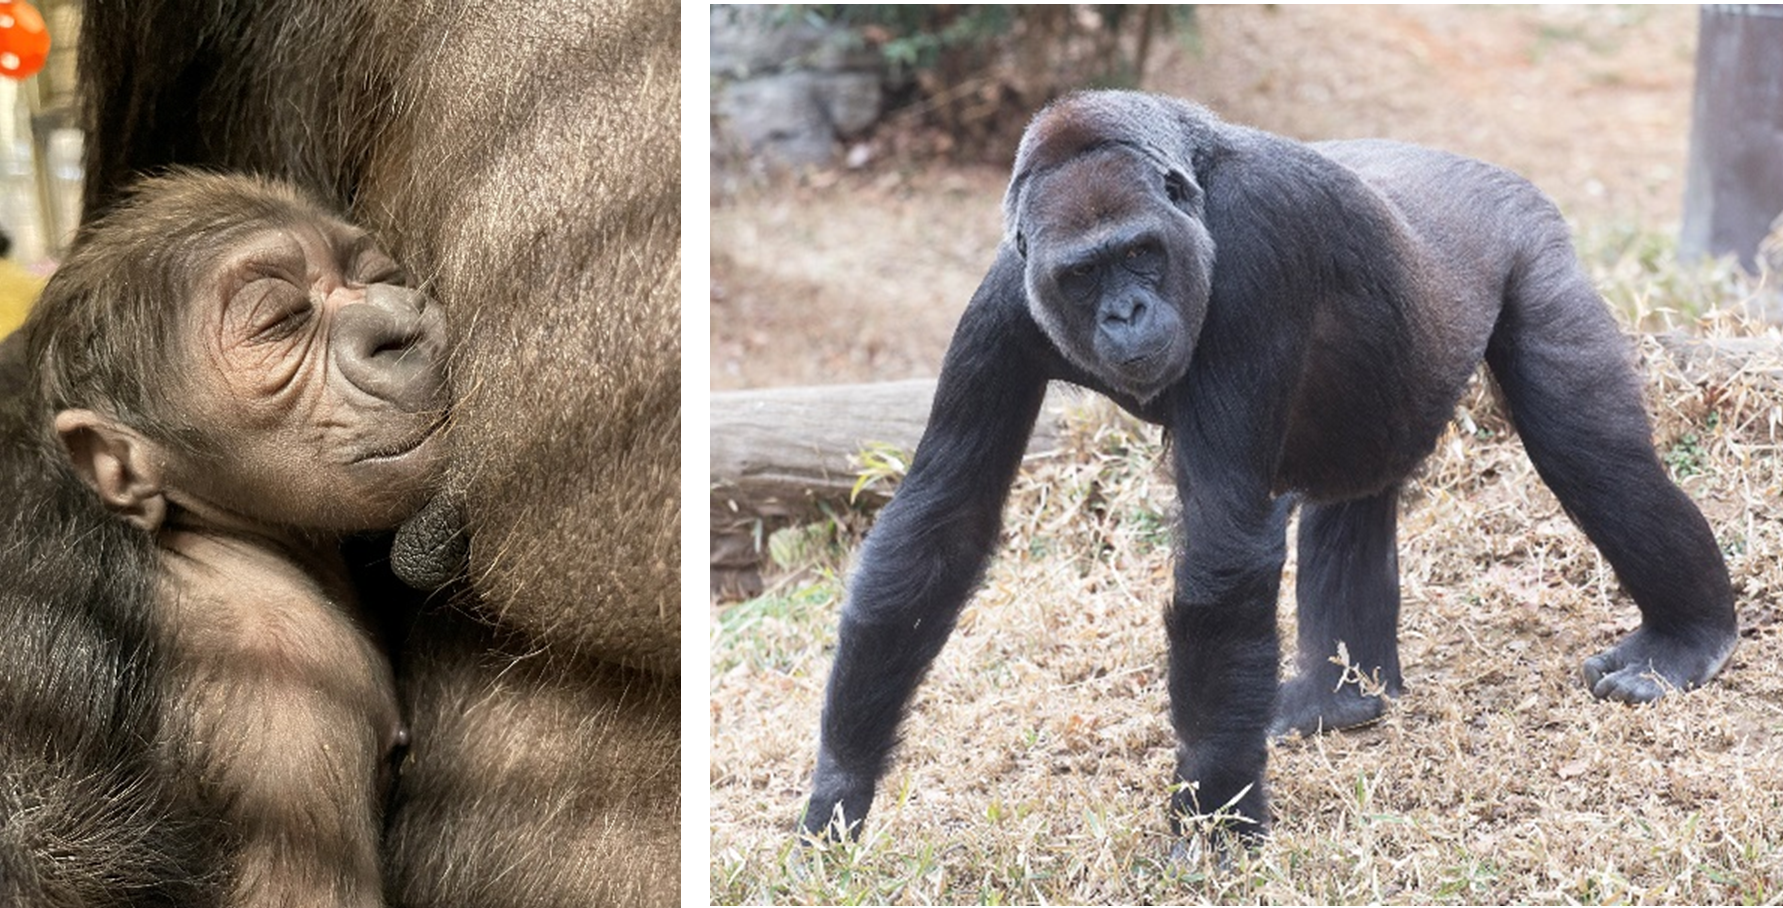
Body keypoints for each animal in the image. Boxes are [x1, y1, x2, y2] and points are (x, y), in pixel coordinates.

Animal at [802, 90, 1733, 834]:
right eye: (1083, 274)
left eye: (1139, 253)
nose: (1126, 313)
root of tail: (1470, 167)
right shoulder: (1002, 302)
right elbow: (940, 527)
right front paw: (839, 788)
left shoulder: (1252, 253)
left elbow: (1219, 555)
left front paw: (1212, 824)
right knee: (1347, 500)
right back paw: (1337, 696)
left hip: (1529, 242)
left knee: (1589, 454)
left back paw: (1686, 638)